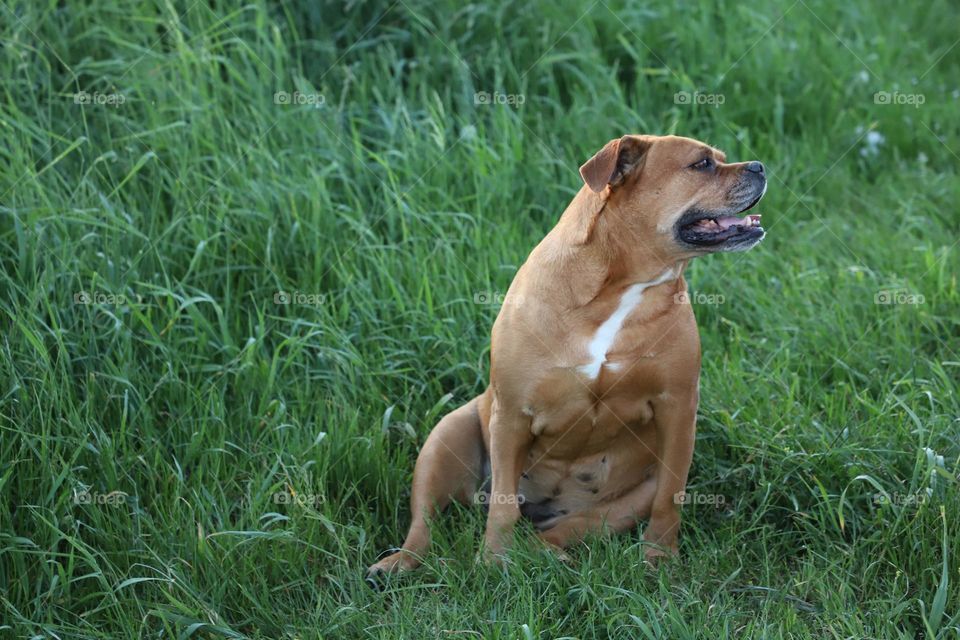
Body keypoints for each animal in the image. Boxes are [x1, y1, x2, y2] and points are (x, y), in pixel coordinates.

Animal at [366, 135, 764, 576]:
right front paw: (493, 561)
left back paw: (548, 553)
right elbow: (502, 505)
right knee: (426, 519)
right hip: (445, 438)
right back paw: (398, 563)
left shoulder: (677, 408)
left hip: (624, 500)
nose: (760, 166)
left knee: (569, 529)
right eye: (702, 164)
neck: (620, 288)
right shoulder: (512, 414)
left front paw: (660, 557)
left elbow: (669, 497)